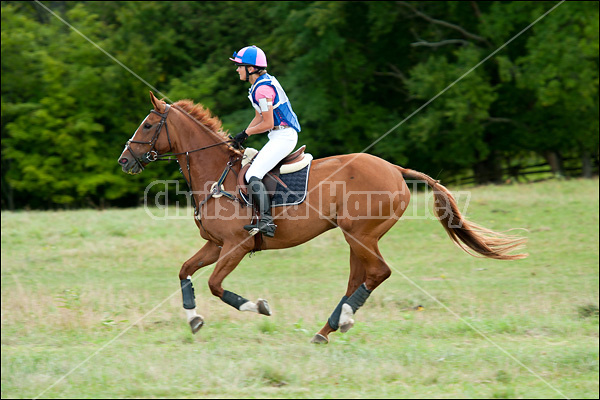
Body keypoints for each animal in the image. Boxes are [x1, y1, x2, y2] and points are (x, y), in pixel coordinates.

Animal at [116, 90, 524, 344]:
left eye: (148, 125)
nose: (124, 160)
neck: (216, 174)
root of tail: (394, 168)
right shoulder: (216, 245)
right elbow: (185, 272)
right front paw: (194, 319)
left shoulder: (236, 245)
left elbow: (216, 285)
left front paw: (258, 306)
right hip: (356, 237)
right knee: (360, 277)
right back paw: (330, 327)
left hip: (361, 234)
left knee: (378, 273)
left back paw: (339, 322)